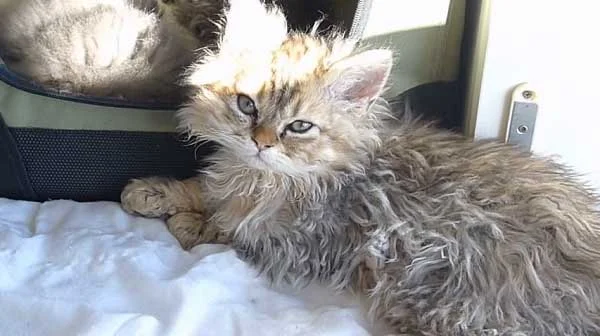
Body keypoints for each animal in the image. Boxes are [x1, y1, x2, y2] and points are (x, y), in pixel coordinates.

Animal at [120, 0, 600, 334]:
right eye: (246, 105)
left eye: (299, 126)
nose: (261, 142)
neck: (267, 180)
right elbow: (201, 189)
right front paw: (151, 191)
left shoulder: (302, 240)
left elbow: (227, 228)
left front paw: (187, 222)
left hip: (450, 297)